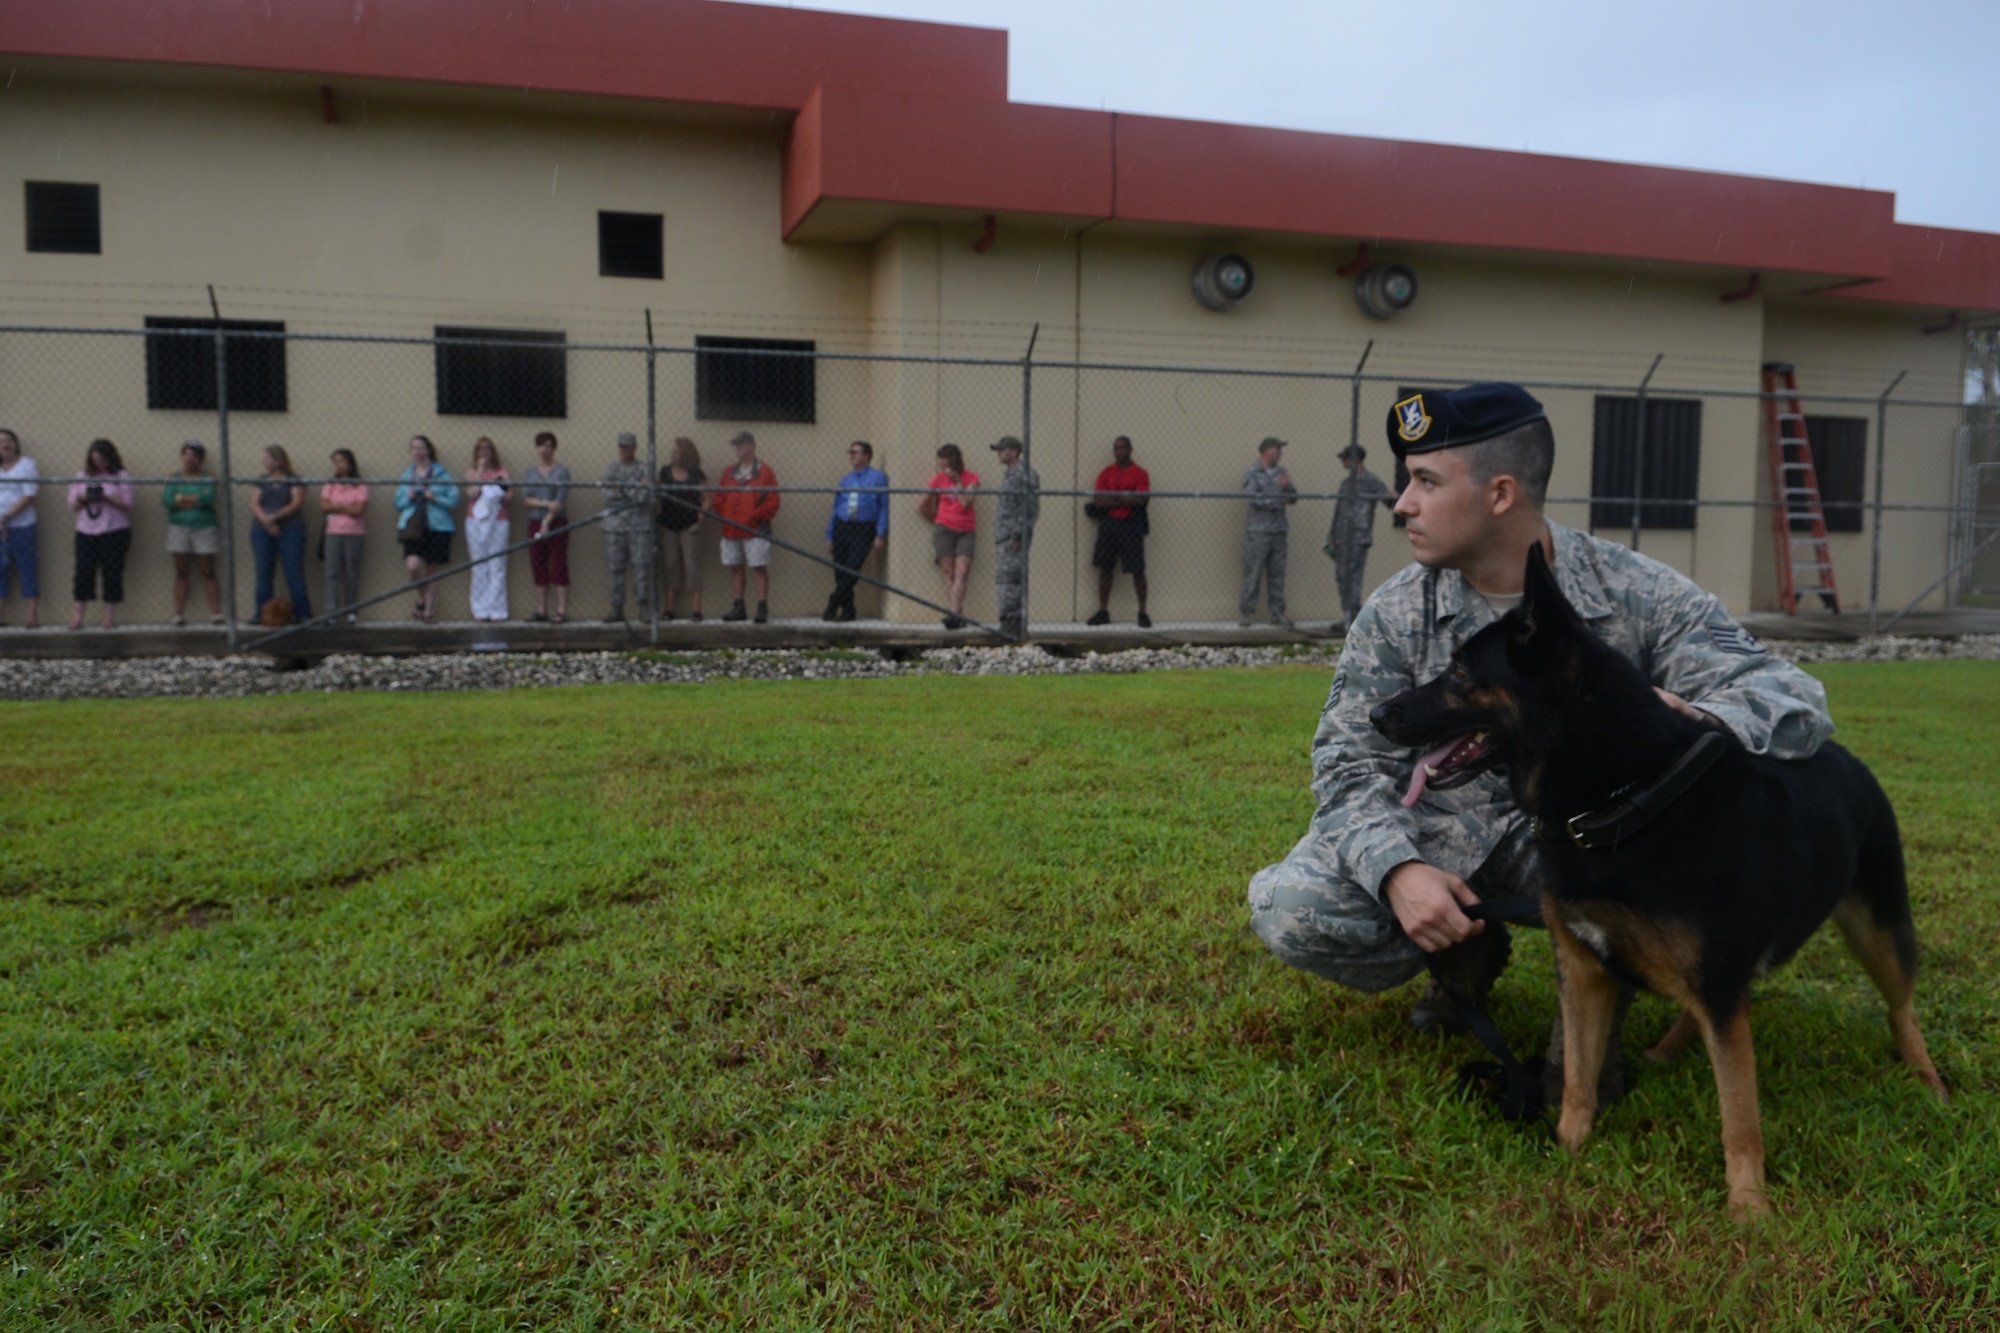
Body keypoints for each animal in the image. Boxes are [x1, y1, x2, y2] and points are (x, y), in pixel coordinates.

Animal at [1368, 544, 1944, 1216]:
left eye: (1460, 674)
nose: (1374, 712)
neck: (1621, 797)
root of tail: (1845, 754)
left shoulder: (1712, 981)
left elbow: (1739, 1112)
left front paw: (1749, 1209)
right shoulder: (1586, 972)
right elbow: (1579, 1077)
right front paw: (1567, 1149)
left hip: (1879, 932)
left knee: (1900, 1006)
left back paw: (1927, 1079)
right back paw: (1670, 1049)